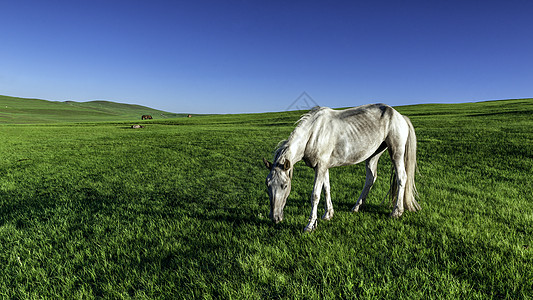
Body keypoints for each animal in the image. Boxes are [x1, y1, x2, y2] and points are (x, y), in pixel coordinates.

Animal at [262, 104, 420, 233]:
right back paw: (357, 206)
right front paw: (328, 214)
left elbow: (315, 195)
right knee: (371, 178)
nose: (275, 218)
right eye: (267, 185)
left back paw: (397, 211)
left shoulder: (320, 167)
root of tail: (400, 116)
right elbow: (326, 189)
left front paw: (310, 225)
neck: (314, 133)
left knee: (402, 178)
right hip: (373, 155)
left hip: (396, 153)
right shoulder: (323, 167)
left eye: (285, 185)